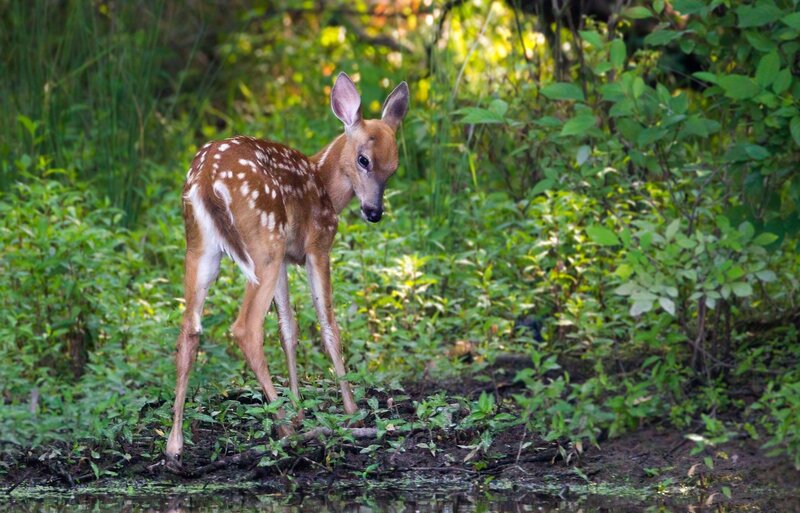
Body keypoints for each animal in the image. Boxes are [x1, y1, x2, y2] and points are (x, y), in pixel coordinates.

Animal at [165, 72, 409, 465]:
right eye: (363, 160)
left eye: (394, 167)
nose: (374, 212)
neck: (325, 185)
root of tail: (205, 179)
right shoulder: (317, 245)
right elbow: (327, 324)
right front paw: (351, 412)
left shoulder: (284, 261)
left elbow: (288, 329)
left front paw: (299, 408)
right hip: (264, 242)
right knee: (245, 328)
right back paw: (283, 428)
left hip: (202, 247)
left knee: (190, 327)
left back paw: (175, 444)